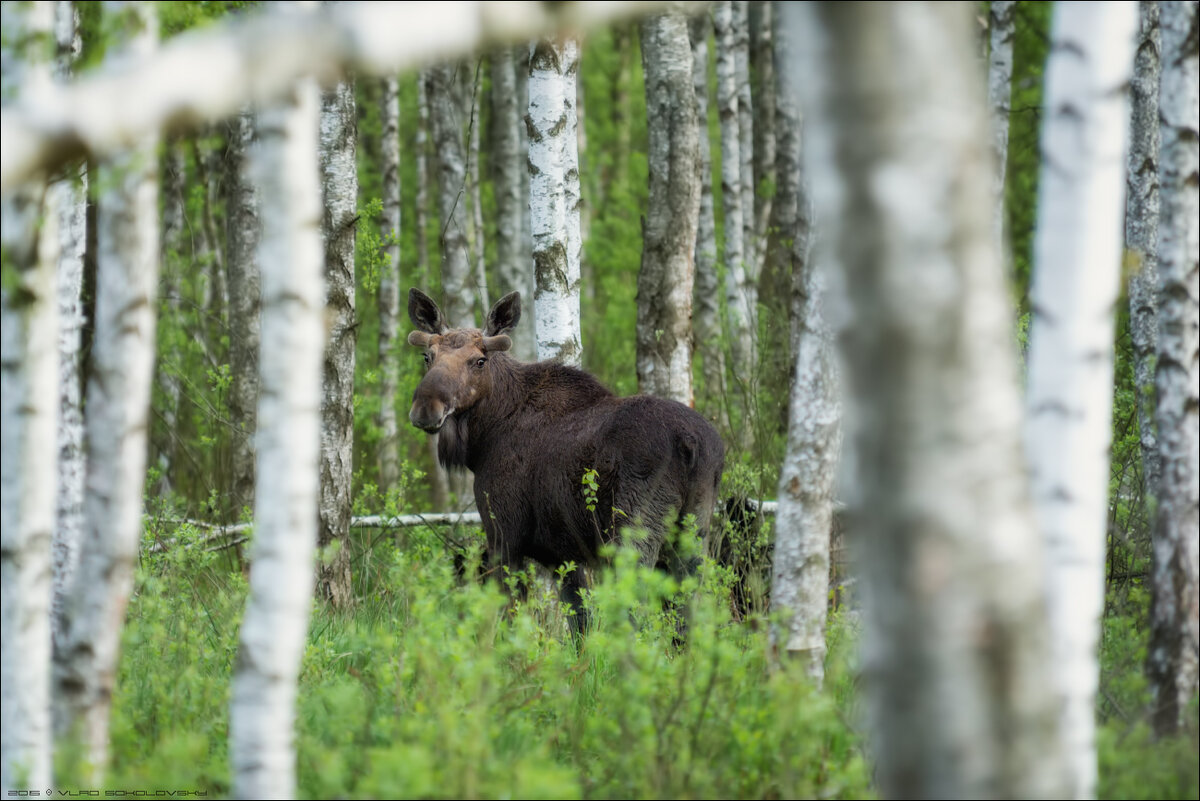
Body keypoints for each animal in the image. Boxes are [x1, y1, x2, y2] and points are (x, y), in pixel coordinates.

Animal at [405, 287, 720, 633]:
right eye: (427, 357)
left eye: (479, 361)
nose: (426, 408)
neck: (484, 438)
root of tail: (690, 443)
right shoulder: (565, 555)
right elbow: (579, 623)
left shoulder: (504, 533)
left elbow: (510, 618)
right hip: (695, 531)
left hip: (634, 533)